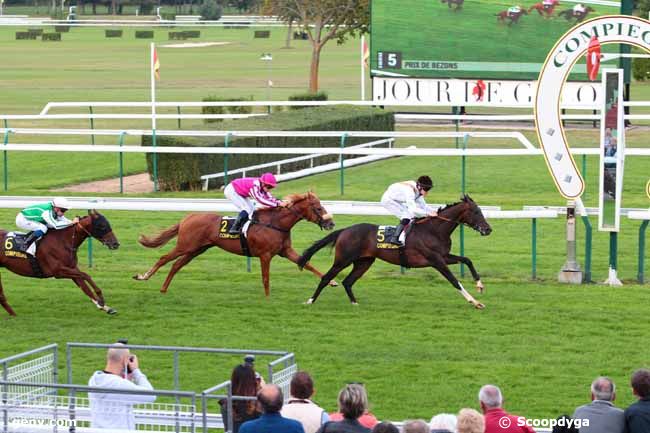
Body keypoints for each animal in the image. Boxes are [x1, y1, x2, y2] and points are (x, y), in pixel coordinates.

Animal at [132, 192, 334, 296]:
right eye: (318, 208)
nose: (331, 223)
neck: (275, 223)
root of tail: (187, 217)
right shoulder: (265, 255)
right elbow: (266, 278)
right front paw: (267, 298)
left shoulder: (285, 251)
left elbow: (307, 263)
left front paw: (331, 281)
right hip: (186, 246)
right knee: (164, 258)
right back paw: (143, 276)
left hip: (197, 249)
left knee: (176, 265)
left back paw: (163, 288)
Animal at [298, 194, 492, 308]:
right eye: (476, 211)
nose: (488, 229)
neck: (433, 230)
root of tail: (345, 230)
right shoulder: (436, 260)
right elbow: (454, 280)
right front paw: (474, 301)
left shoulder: (443, 256)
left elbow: (467, 259)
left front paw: (480, 285)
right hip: (343, 260)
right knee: (327, 277)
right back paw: (310, 300)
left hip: (364, 262)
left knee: (348, 281)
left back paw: (354, 303)